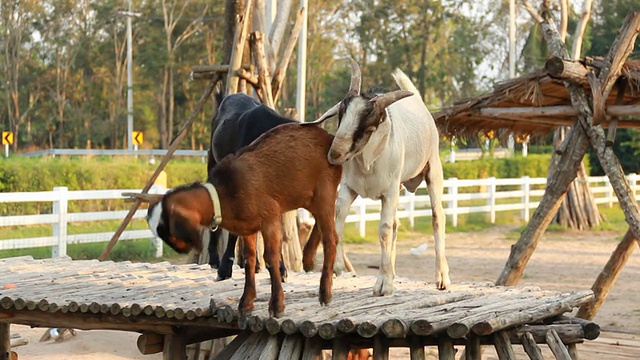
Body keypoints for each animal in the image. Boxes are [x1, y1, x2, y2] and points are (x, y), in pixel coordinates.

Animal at [143, 123, 342, 316]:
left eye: (168, 230)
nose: (180, 249)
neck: (224, 193)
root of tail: (329, 137)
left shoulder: (269, 217)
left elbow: (270, 258)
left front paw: (277, 305)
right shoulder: (248, 228)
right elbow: (249, 259)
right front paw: (246, 301)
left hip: (324, 191)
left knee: (331, 239)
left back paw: (325, 293)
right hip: (309, 197)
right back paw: (308, 258)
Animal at [312, 59, 448, 296]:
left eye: (370, 127)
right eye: (341, 115)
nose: (335, 154)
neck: (368, 163)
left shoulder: (389, 191)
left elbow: (383, 230)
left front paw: (383, 285)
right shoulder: (348, 188)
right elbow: (338, 220)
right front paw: (338, 268)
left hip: (432, 169)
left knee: (437, 218)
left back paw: (441, 278)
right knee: (396, 224)